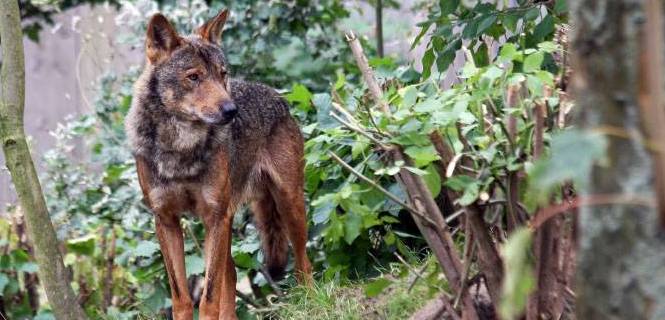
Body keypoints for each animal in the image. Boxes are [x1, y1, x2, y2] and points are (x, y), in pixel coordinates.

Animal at [124, 10, 312, 320]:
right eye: (194, 77)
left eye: (222, 74)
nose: (231, 110)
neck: (181, 150)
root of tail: (277, 96)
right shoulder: (166, 220)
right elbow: (182, 297)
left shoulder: (214, 217)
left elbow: (208, 297)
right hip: (224, 223)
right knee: (232, 274)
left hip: (286, 203)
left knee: (302, 260)